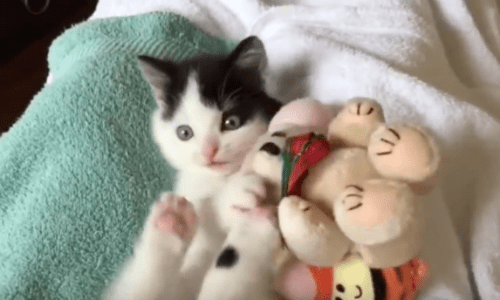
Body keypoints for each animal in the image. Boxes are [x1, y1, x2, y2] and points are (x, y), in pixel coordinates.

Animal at [105, 37, 282, 300]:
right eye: (184, 133)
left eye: (231, 122)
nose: (209, 152)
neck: (218, 179)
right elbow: (138, 289)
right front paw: (171, 220)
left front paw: (235, 201)